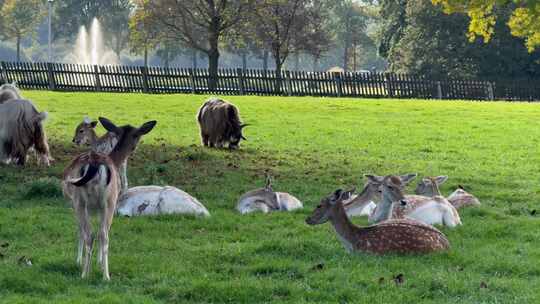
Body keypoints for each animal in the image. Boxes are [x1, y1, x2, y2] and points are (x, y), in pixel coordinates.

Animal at [63, 117, 157, 280]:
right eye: (137, 135)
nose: (134, 148)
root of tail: (94, 164)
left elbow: (84, 230)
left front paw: (87, 262)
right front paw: (93, 262)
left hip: (83, 201)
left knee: (92, 234)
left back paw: (88, 274)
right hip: (107, 201)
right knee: (101, 234)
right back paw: (104, 275)